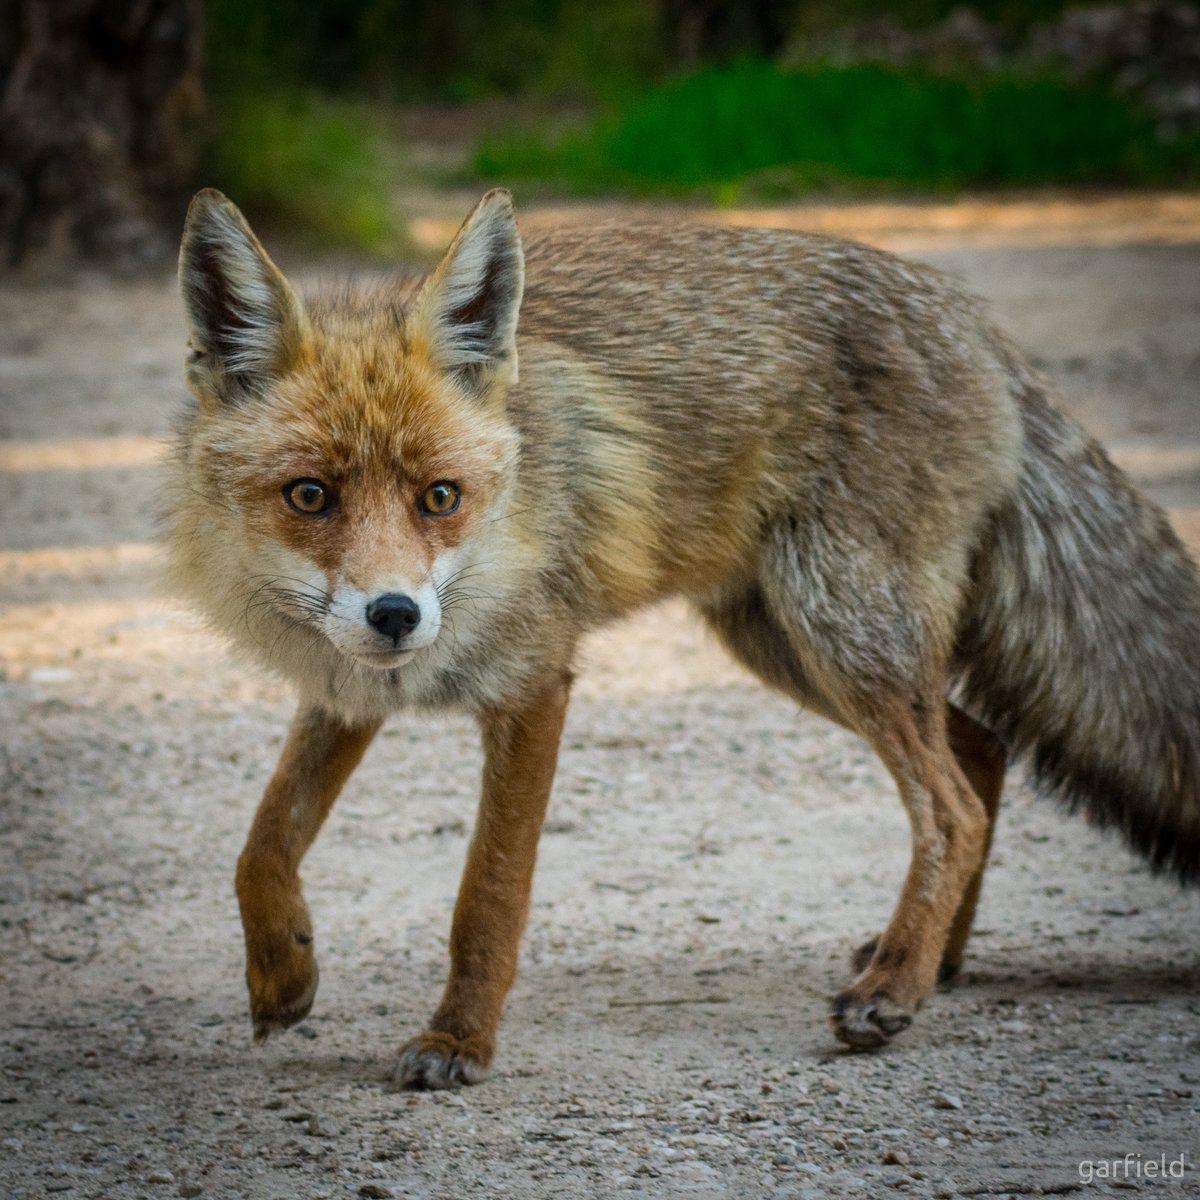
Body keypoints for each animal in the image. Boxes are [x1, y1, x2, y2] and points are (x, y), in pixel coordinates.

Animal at [167, 186, 1200, 1089]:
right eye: (311, 495)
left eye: (440, 496)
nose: (395, 613)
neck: (513, 505)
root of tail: (974, 318)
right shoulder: (350, 688)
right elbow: (260, 845)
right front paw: (283, 975)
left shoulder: (534, 683)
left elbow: (487, 896)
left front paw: (459, 1041)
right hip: (785, 641)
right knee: (981, 752)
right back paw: (931, 960)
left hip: (841, 627)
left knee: (951, 806)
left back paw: (894, 988)